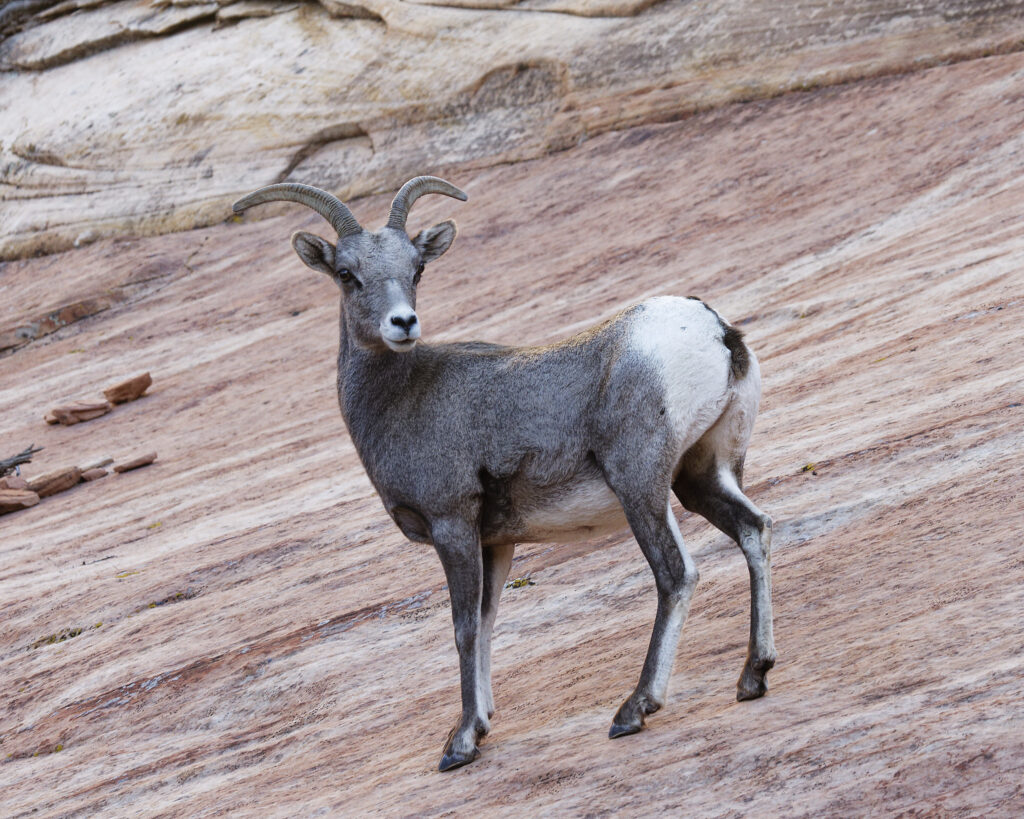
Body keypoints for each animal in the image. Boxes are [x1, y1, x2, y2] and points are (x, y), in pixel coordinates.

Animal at [232, 176, 776, 771]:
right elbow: (489, 622)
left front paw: (462, 743)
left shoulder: (453, 526)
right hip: (704, 475)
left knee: (676, 575)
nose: (403, 323)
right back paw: (753, 676)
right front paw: (482, 723)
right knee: (754, 530)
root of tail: (716, 333)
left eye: (416, 269)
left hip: (641, 486)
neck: (403, 397)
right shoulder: (496, 542)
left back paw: (633, 710)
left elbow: (464, 627)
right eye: (347, 274)